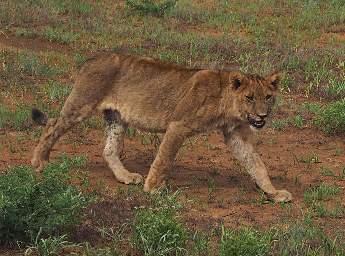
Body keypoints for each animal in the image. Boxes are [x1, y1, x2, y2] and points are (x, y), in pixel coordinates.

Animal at [31, 53, 290, 202]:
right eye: (249, 98)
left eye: (268, 97)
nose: (263, 116)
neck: (226, 103)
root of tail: (91, 59)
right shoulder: (178, 125)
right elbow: (164, 158)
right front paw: (154, 188)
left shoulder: (236, 136)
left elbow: (257, 165)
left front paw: (273, 192)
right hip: (82, 104)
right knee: (52, 125)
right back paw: (39, 161)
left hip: (117, 118)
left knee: (109, 150)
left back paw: (125, 176)